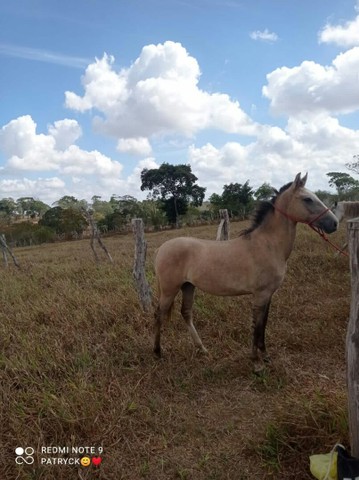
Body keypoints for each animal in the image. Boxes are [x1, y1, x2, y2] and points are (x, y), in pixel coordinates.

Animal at [153, 172, 338, 372]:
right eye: (307, 199)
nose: (334, 223)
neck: (267, 244)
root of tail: (161, 249)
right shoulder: (260, 294)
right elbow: (256, 326)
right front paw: (256, 363)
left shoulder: (268, 295)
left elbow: (263, 325)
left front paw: (266, 357)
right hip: (169, 290)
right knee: (159, 315)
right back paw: (158, 353)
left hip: (188, 286)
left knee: (186, 313)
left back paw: (202, 349)